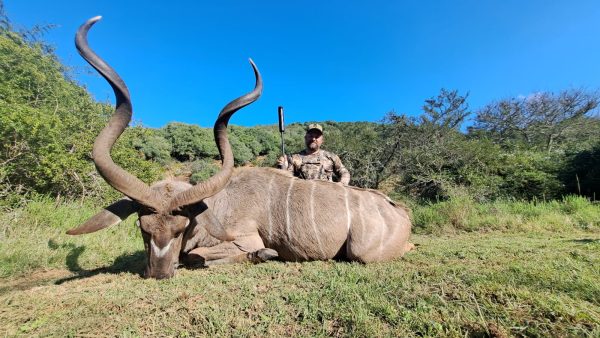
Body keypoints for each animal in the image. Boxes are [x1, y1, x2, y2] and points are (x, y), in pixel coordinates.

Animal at [65, 16, 412, 280]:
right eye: (143, 227)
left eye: (181, 228)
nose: (159, 273)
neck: (216, 205)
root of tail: (397, 209)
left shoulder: (243, 239)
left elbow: (200, 257)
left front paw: (266, 254)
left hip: (361, 252)